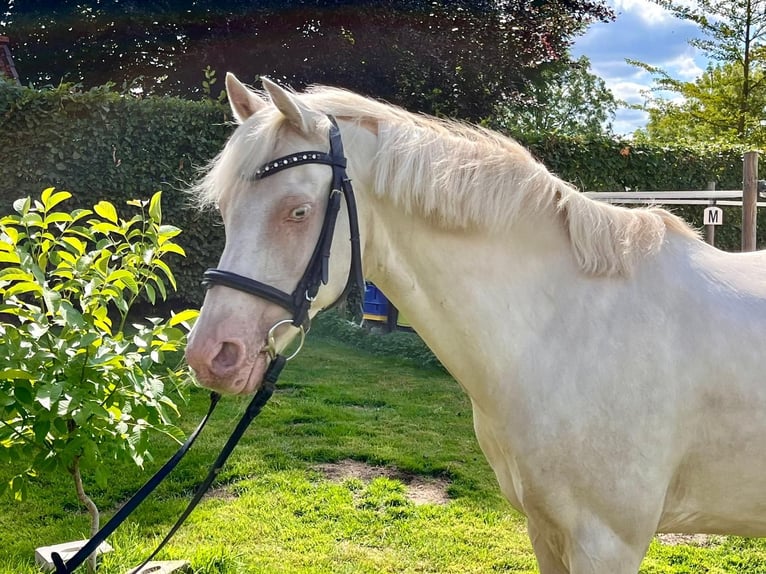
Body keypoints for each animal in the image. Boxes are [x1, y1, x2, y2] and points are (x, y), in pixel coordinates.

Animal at [186, 74, 766, 572]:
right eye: (226, 209)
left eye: (299, 212)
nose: (210, 355)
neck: (565, 331)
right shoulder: (546, 529)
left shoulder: (607, 544)